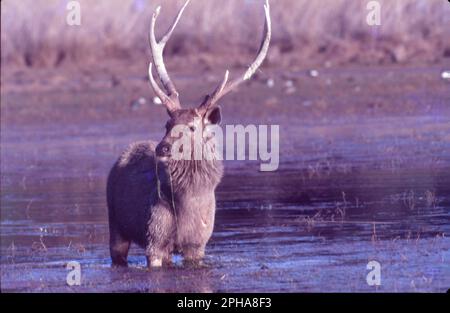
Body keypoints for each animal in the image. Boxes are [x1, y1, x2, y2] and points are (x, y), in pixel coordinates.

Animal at [107, 0, 272, 268]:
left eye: (192, 127)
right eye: (167, 123)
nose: (162, 148)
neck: (188, 205)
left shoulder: (197, 244)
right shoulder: (154, 238)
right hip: (116, 225)